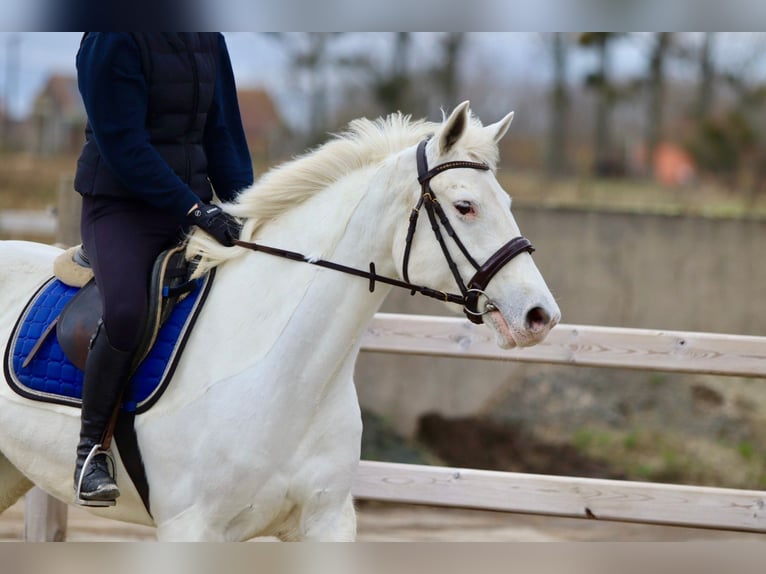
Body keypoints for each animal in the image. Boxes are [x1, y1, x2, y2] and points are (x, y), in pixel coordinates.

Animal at [0, 101, 564, 544]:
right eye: (465, 206)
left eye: (507, 203)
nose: (540, 316)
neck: (289, 373)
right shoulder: (193, 528)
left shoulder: (327, 521)